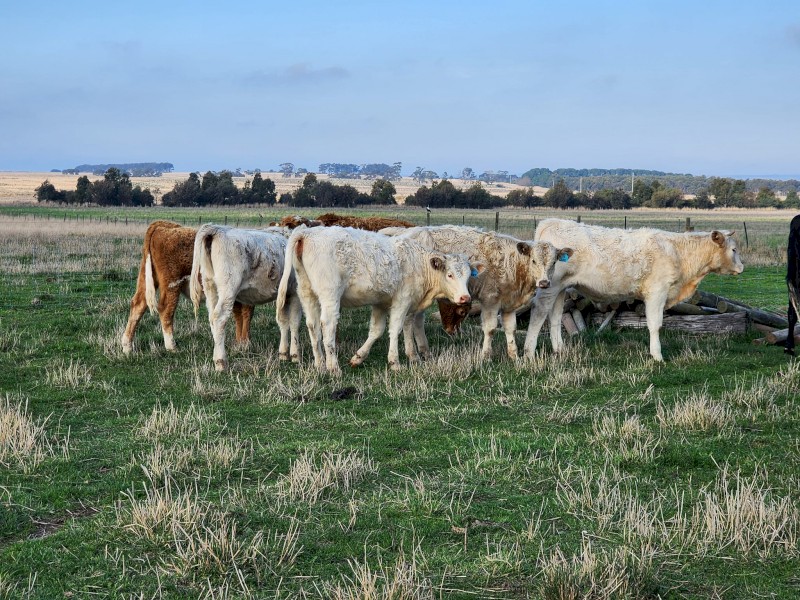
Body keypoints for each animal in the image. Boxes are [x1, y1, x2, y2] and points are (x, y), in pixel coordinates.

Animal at [121, 221, 254, 355]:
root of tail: (162, 225)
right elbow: (246, 314)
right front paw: (245, 343)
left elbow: (239, 315)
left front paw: (240, 342)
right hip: (172, 284)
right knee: (165, 310)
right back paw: (172, 347)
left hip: (147, 278)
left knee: (138, 305)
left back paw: (127, 346)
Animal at [189, 224, 302, 371]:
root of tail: (218, 229)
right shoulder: (295, 292)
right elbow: (294, 322)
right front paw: (295, 355)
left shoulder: (284, 294)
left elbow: (283, 321)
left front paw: (283, 353)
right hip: (228, 289)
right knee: (219, 318)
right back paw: (221, 361)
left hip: (210, 287)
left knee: (212, 318)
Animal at [276, 226, 482, 374]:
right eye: (449, 275)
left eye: (467, 276)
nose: (465, 298)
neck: (419, 263)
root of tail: (308, 232)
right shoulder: (402, 300)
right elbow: (396, 329)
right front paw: (395, 362)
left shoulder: (382, 303)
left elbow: (378, 331)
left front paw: (359, 357)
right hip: (330, 295)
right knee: (327, 325)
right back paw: (333, 366)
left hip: (306, 292)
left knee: (312, 325)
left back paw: (319, 363)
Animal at [384, 225, 571, 360]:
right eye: (533, 261)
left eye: (554, 262)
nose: (544, 282)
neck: (513, 263)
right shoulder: (490, 300)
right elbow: (490, 328)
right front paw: (485, 356)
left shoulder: (509, 304)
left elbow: (511, 329)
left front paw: (514, 356)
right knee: (409, 321)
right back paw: (414, 354)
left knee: (417, 320)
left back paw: (425, 351)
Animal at [524, 218, 744, 362]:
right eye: (733, 250)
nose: (742, 267)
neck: (677, 252)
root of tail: (550, 222)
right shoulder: (657, 291)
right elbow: (655, 324)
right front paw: (657, 356)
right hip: (548, 287)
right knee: (538, 314)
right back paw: (529, 353)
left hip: (560, 288)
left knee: (555, 316)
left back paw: (559, 350)